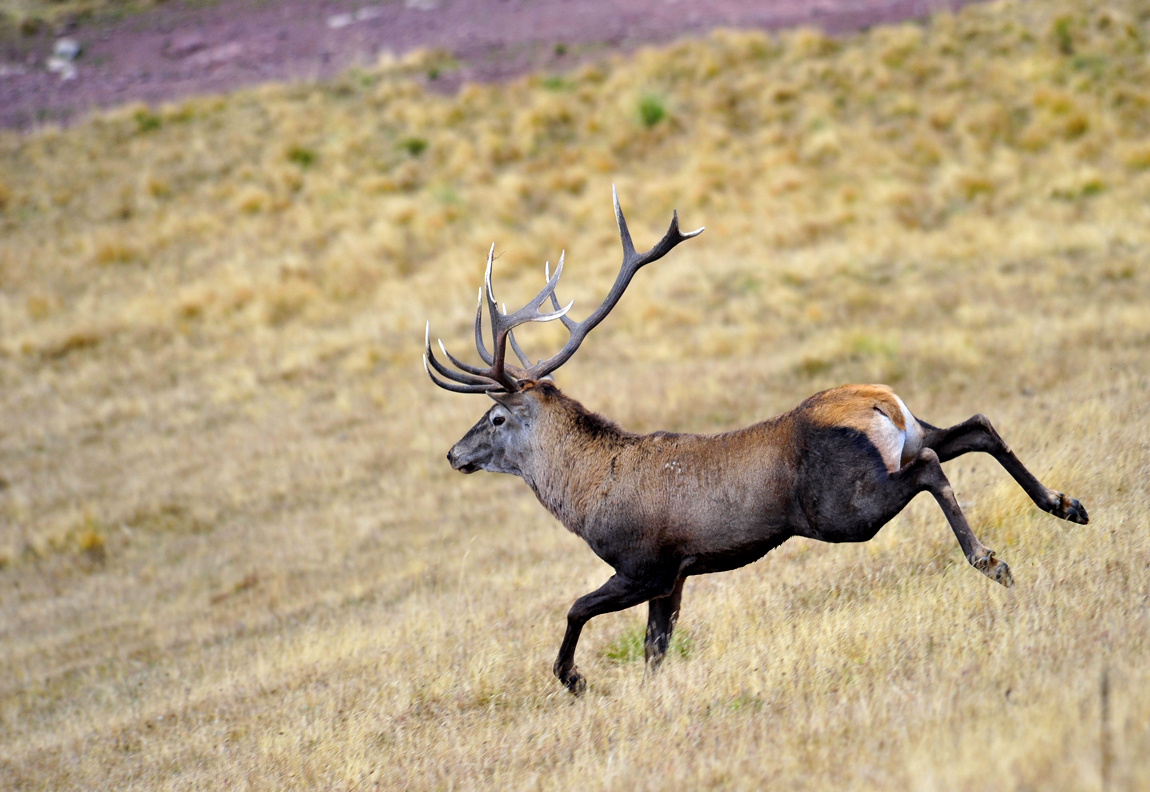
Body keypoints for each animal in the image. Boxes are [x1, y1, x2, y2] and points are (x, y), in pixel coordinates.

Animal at [427, 188, 1090, 694]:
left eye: (494, 418)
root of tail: (879, 399)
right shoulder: (677, 575)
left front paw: (574, 679)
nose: (453, 454)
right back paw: (1066, 504)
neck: (586, 494)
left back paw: (991, 560)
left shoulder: (645, 562)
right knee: (974, 425)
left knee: (929, 466)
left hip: (841, 506)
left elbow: (576, 609)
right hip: (905, 436)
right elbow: (654, 649)